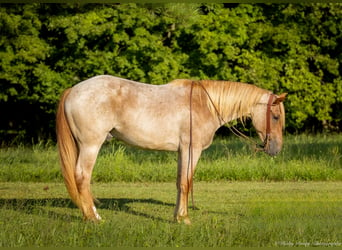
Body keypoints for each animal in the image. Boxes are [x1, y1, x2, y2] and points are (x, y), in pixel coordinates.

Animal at [55, 74, 286, 225]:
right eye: (275, 116)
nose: (276, 149)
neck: (205, 105)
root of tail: (73, 90)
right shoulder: (192, 150)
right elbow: (186, 182)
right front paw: (184, 219)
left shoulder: (182, 151)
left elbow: (179, 182)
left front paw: (177, 216)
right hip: (91, 145)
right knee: (82, 177)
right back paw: (93, 218)